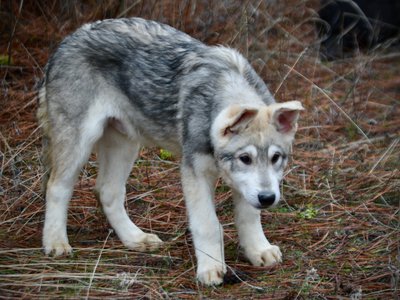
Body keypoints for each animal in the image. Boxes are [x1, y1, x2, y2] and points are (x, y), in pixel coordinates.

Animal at [37, 17, 304, 284]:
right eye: (245, 158)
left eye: (276, 158)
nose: (268, 199)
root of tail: (68, 40)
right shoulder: (194, 172)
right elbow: (207, 223)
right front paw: (210, 268)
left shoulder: (247, 188)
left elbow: (249, 218)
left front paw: (258, 250)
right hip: (79, 143)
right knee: (57, 187)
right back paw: (56, 243)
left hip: (125, 144)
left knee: (107, 191)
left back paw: (135, 239)